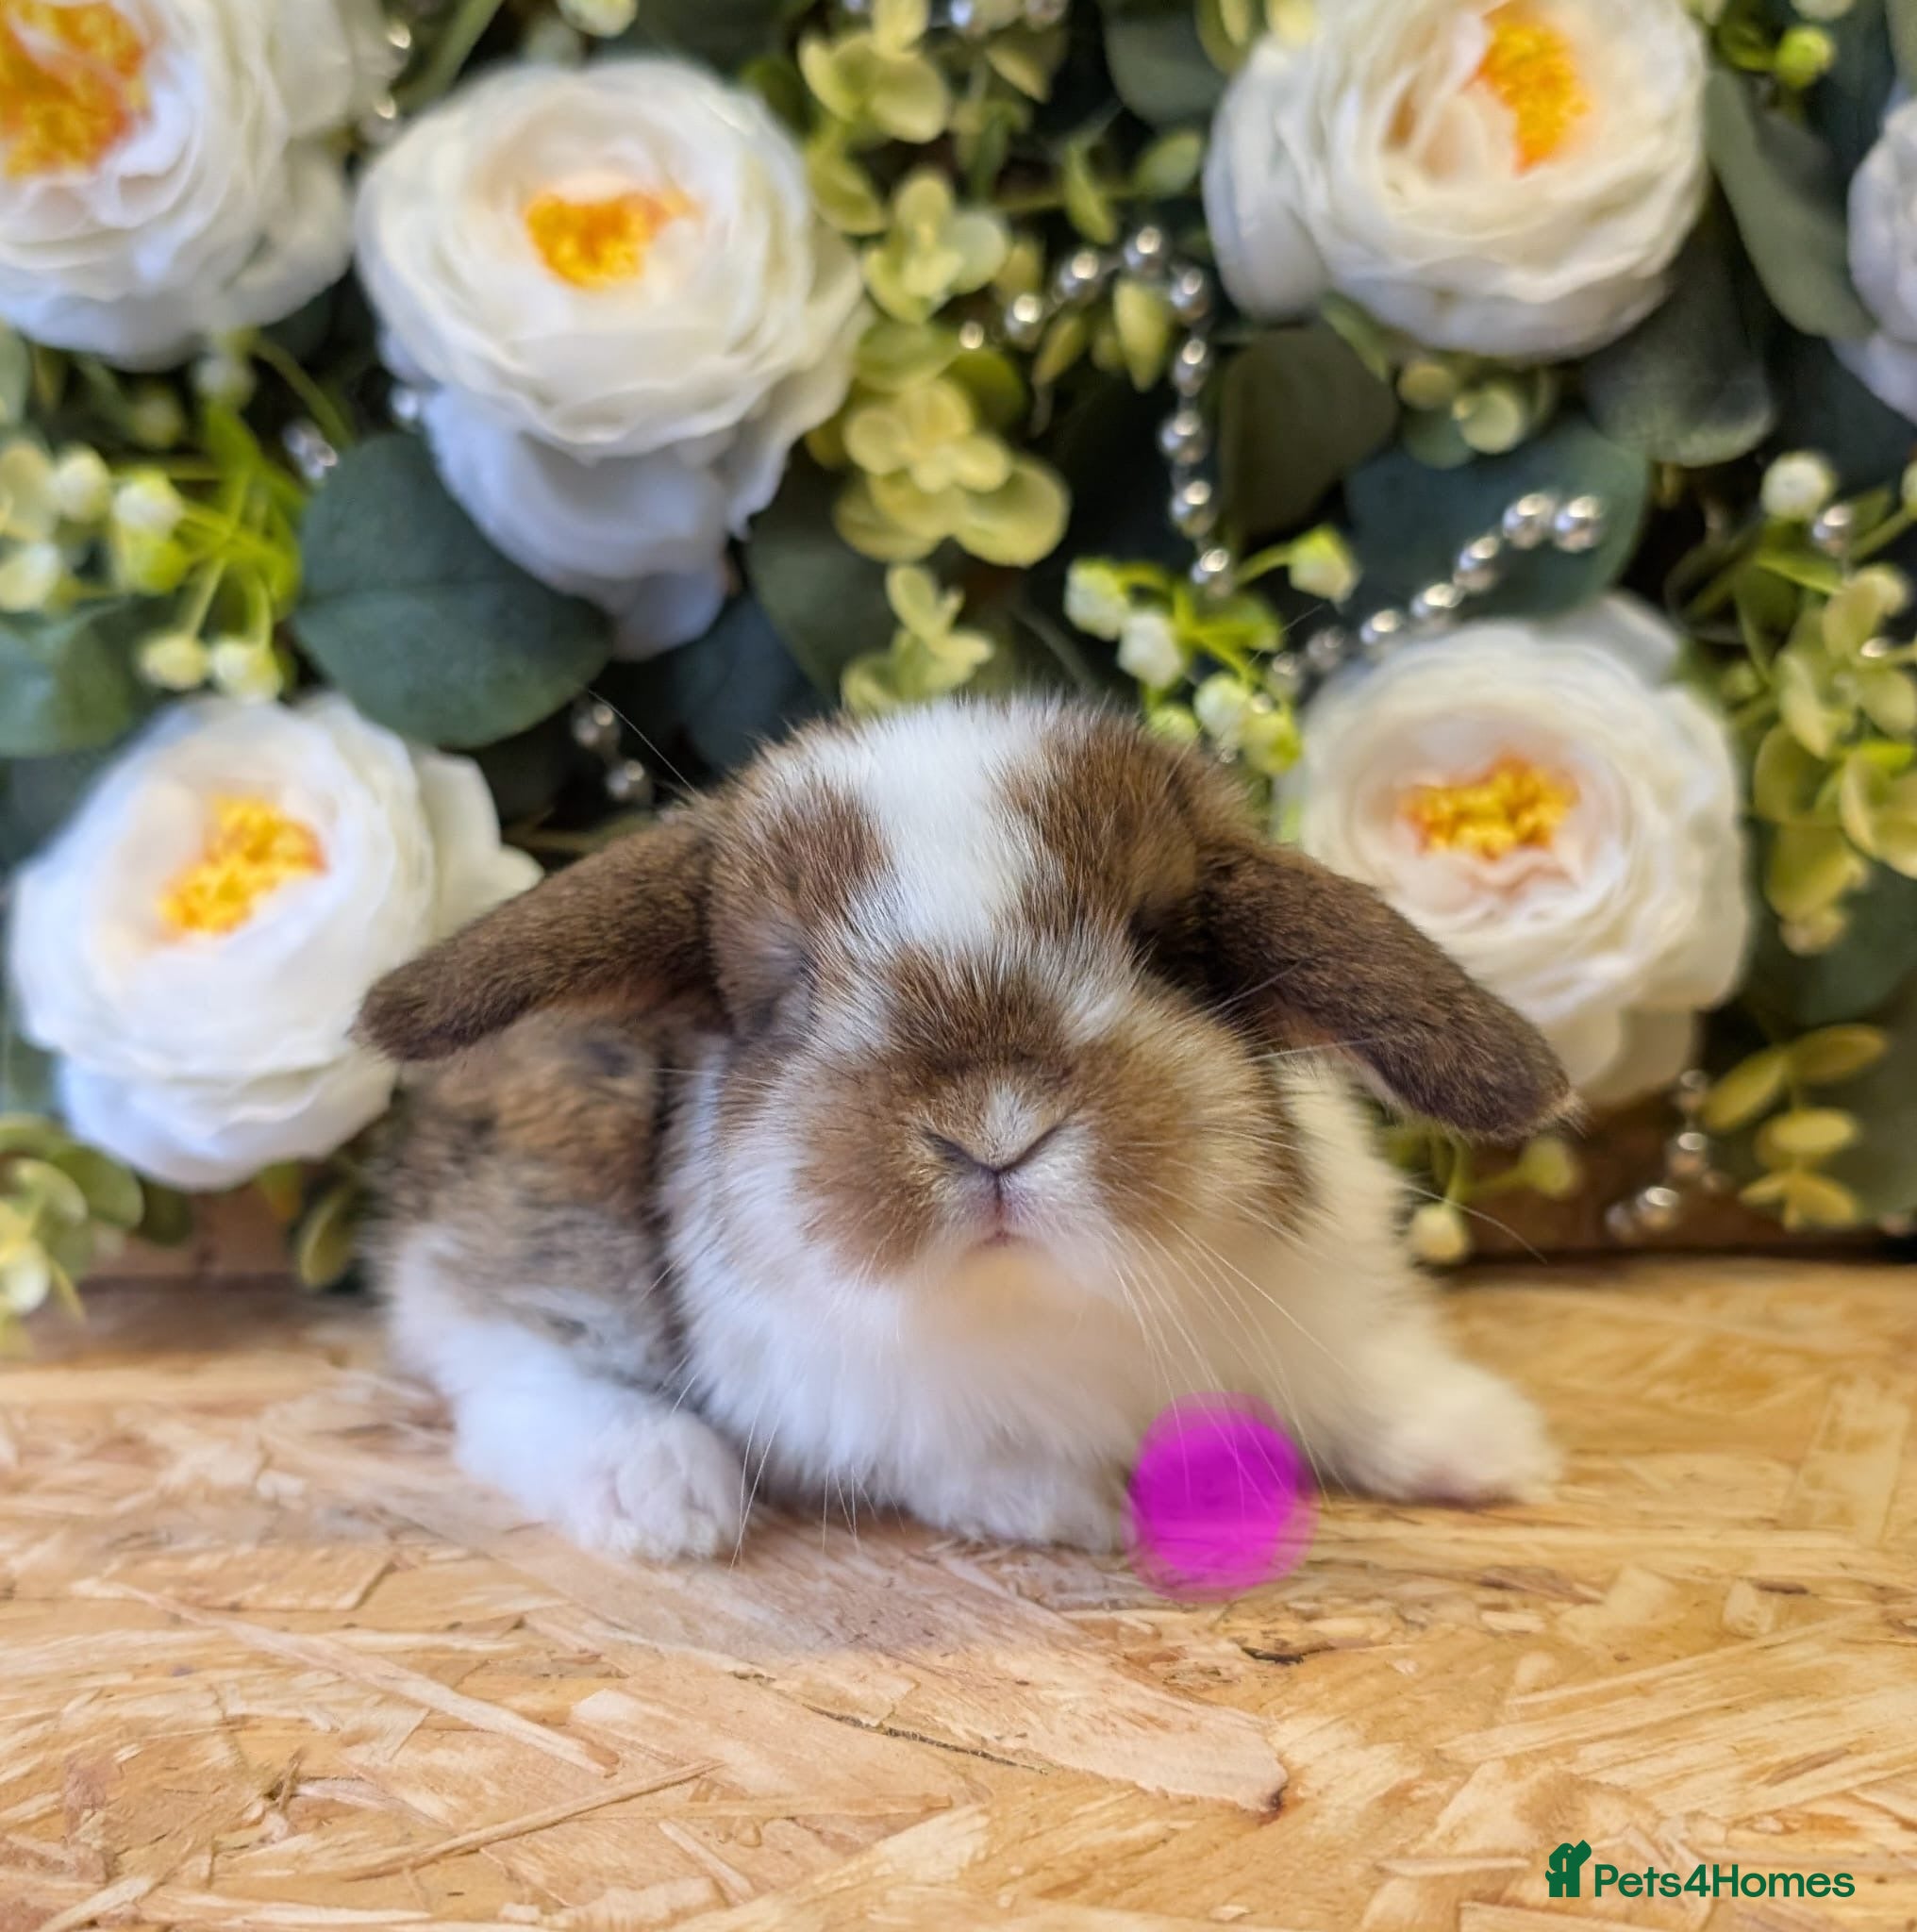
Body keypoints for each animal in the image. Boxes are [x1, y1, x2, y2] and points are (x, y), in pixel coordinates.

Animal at [358, 696, 1570, 1560]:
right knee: (504, 1359)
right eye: (791, 988)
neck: (1042, 1306)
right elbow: (968, 1465)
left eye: (1160, 948)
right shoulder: (861, 1409)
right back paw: (661, 1490)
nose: (992, 1135)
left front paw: (1495, 1442)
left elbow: (1364, 1375)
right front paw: (1077, 1508)